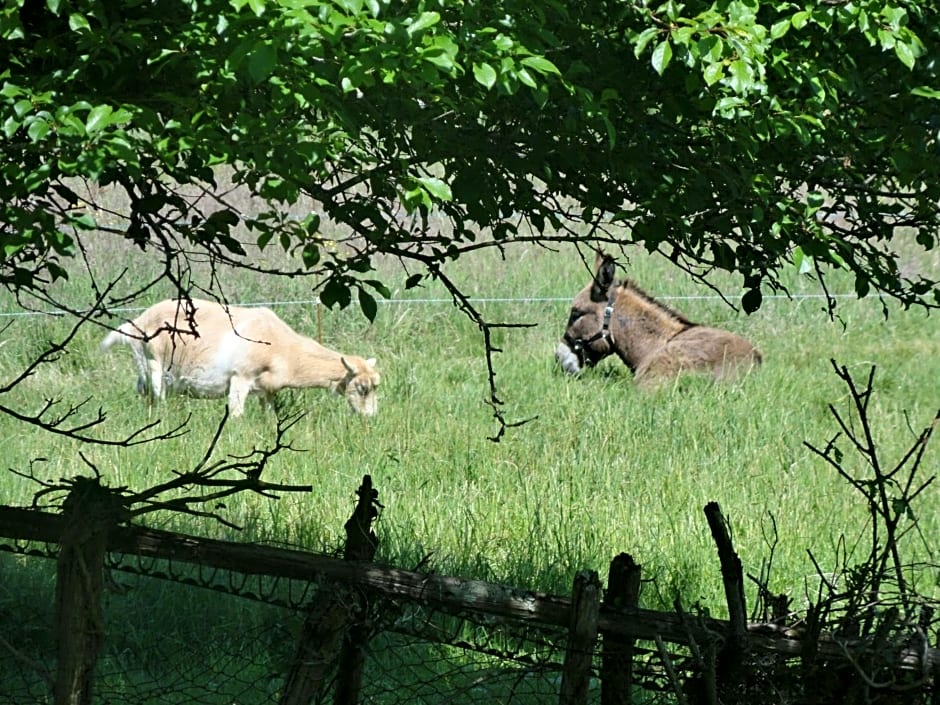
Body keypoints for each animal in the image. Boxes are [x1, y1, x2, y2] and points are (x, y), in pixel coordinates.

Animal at [101, 298, 380, 418]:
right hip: (154, 363)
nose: (371, 417)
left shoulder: (267, 390)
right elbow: (236, 414)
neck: (285, 349)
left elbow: (270, 416)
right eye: (362, 388)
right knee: (158, 396)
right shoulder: (240, 377)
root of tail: (139, 320)